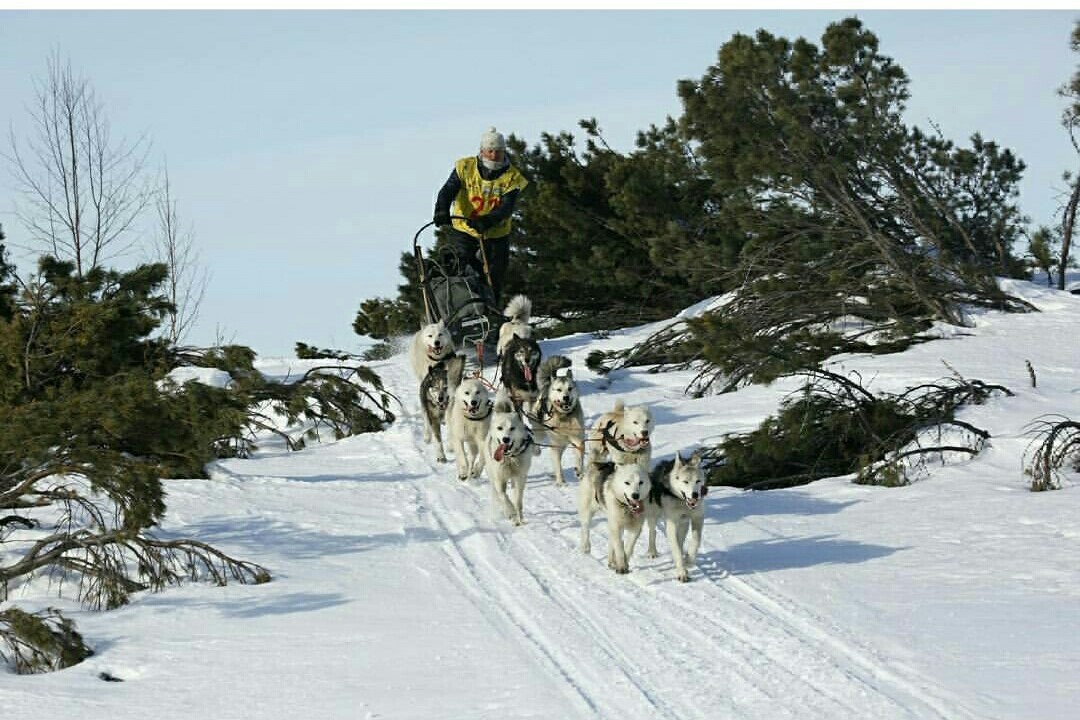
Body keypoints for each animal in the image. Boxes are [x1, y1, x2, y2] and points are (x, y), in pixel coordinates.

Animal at [486, 386, 535, 526]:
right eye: (500, 428)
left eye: (512, 428)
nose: (505, 439)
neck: (510, 458)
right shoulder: (499, 480)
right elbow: (504, 498)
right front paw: (511, 512)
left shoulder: (520, 478)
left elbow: (518, 501)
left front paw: (519, 518)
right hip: (492, 476)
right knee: (498, 495)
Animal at [529, 356, 587, 487]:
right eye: (559, 390)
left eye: (570, 388)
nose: (566, 397)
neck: (564, 417)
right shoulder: (555, 445)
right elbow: (558, 466)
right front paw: (560, 482)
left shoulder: (578, 440)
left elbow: (579, 457)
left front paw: (579, 471)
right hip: (540, 431)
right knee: (535, 439)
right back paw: (536, 450)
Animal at [643, 453, 712, 582]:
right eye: (685, 481)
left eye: (698, 481)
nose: (695, 495)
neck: (682, 502)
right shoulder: (672, 524)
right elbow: (676, 550)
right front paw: (682, 573)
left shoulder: (697, 519)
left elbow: (695, 541)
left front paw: (689, 561)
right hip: (654, 515)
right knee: (653, 532)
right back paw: (652, 552)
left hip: (683, 523)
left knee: (680, 540)